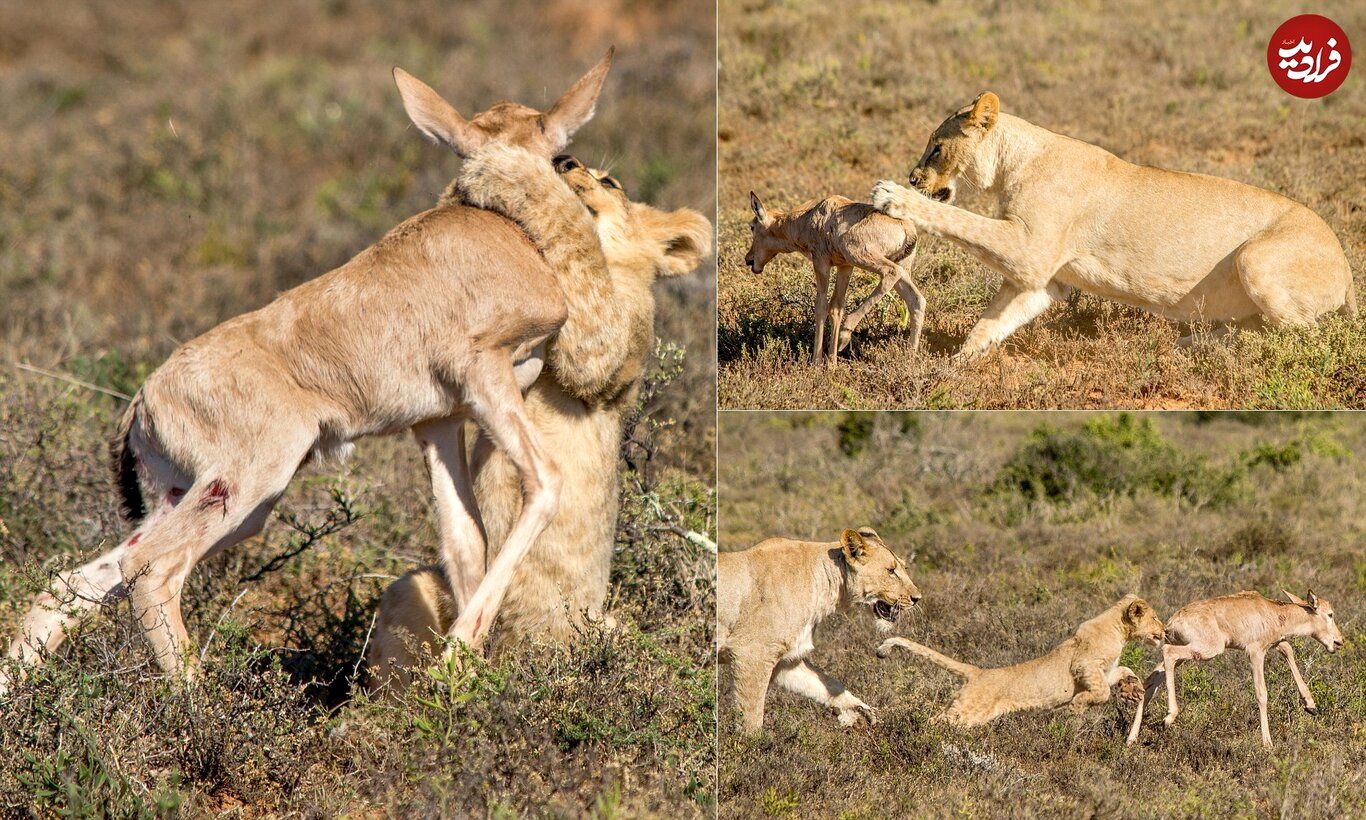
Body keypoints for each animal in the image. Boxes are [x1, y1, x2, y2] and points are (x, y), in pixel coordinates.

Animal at [368, 155, 715, 691]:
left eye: (610, 180)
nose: (563, 160)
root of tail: (512, 658)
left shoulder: (605, 348)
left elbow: (578, 256)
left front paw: (509, 171)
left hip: (603, 628)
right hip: (415, 586)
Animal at [721, 527, 923, 732]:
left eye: (904, 568)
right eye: (891, 571)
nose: (917, 598)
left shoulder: (785, 660)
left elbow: (825, 684)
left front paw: (858, 711)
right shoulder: (752, 653)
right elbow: (752, 716)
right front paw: (750, 741)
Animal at [743, 192, 923, 366]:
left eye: (752, 226)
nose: (749, 260)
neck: (812, 216)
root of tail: (907, 228)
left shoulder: (821, 262)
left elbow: (821, 307)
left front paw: (816, 363)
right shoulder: (845, 266)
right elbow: (836, 307)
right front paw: (832, 363)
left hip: (860, 254)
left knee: (891, 272)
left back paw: (845, 334)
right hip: (900, 267)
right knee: (917, 300)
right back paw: (909, 358)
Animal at [874, 595, 1163, 721]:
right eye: (1156, 617)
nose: (1164, 631)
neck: (1118, 630)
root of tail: (978, 671)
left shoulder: (1105, 670)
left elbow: (1124, 669)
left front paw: (1133, 691)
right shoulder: (1084, 665)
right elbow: (1100, 692)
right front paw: (1077, 706)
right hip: (966, 712)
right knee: (939, 721)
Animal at [1125, 590, 1338, 748]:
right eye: (1330, 614)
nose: (1339, 641)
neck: (1273, 611)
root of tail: (1171, 623)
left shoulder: (1276, 643)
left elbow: (1288, 650)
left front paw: (1310, 705)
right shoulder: (1255, 652)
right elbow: (1261, 693)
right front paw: (1267, 744)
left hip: (1186, 650)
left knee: (1152, 678)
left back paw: (1131, 738)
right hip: (1207, 649)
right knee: (1168, 653)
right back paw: (1169, 717)